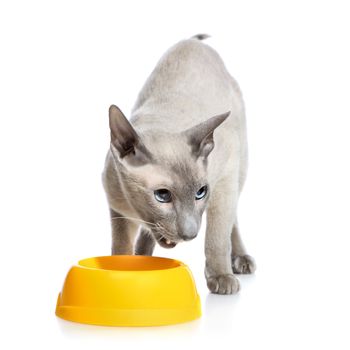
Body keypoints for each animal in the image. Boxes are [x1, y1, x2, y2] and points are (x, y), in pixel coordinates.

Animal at [102, 34, 256, 294]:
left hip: (239, 167)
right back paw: (143, 256)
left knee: (232, 220)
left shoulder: (224, 180)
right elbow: (121, 247)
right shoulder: (119, 210)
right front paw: (123, 274)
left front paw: (221, 277)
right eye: (162, 196)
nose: (190, 234)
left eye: (200, 193)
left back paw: (240, 261)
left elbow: (217, 237)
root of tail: (193, 41)